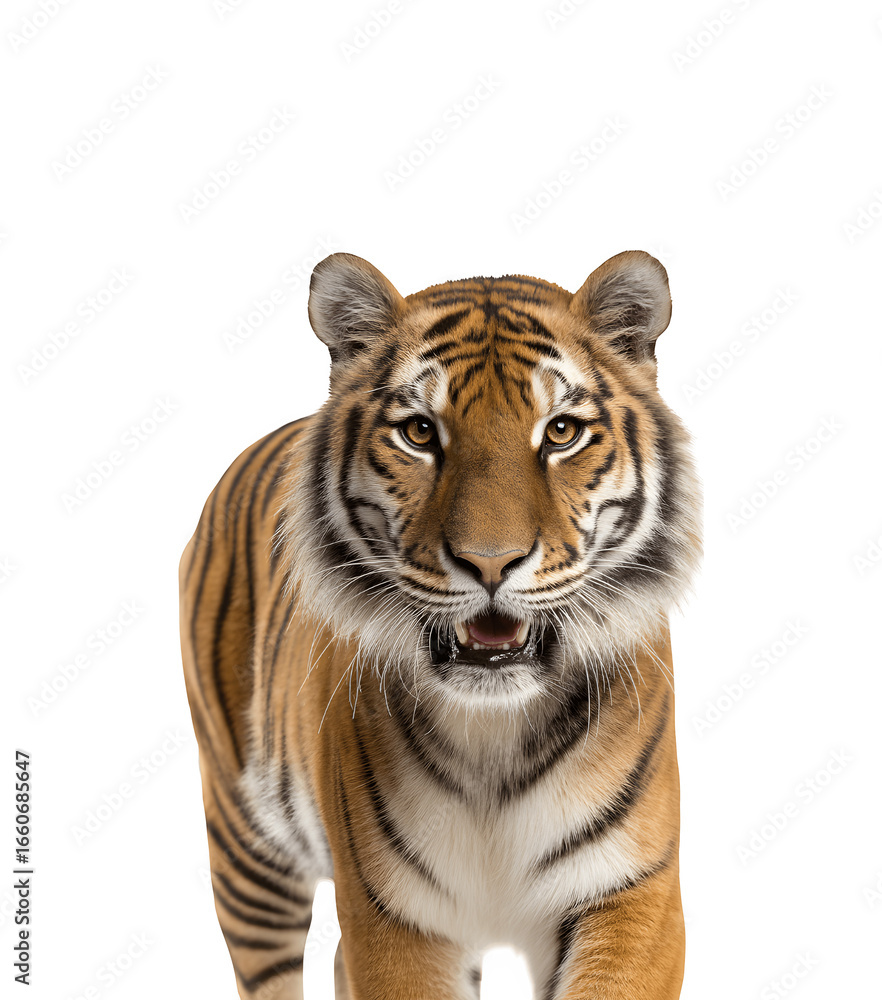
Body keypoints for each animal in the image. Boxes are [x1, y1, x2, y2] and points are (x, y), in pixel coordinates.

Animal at [179, 249, 702, 1000]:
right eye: (420, 432)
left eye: (561, 431)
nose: (490, 562)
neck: (495, 736)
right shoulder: (392, 916)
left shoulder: (633, 893)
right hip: (246, 849)